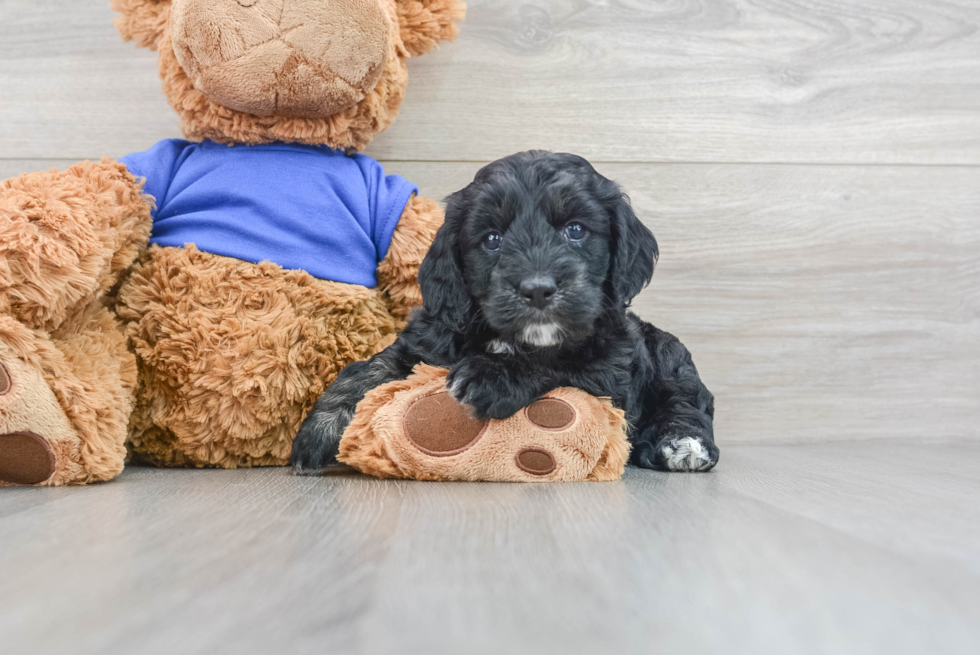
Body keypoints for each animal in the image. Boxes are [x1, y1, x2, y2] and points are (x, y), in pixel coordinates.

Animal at [290, 152, 720, 474]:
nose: (537, 289)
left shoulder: (608, 370)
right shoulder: (426, 341)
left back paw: (682, 444)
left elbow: (554, 362)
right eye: (492, 239)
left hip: (669, 357)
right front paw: (320, 429)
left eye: (575, 230)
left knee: (685, 400)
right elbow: (370, 369)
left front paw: (492, 375)